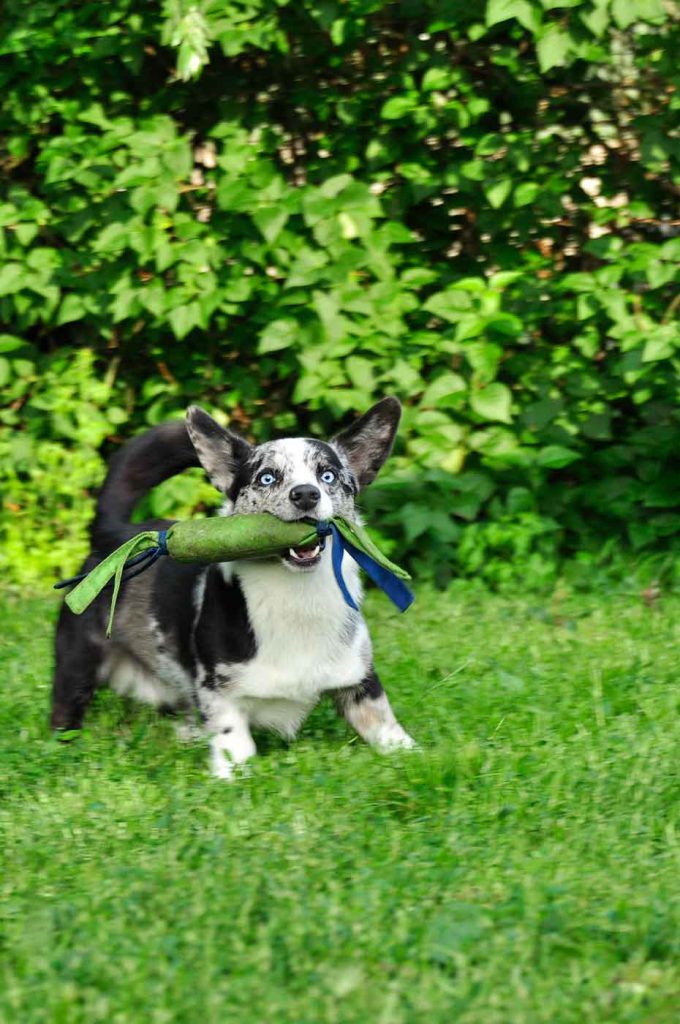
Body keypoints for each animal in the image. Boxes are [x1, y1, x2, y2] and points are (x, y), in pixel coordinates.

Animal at [51, 397, 413, 774]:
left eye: (327, 476)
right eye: (267, 477)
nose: (305, 495)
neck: (297, 596)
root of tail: (113, 532)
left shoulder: (360, 683)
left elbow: (385, 724)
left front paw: (408, 753)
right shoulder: (217, 691)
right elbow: (233, 738)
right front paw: (233, 773)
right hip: (76, 667)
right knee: (67, 710)